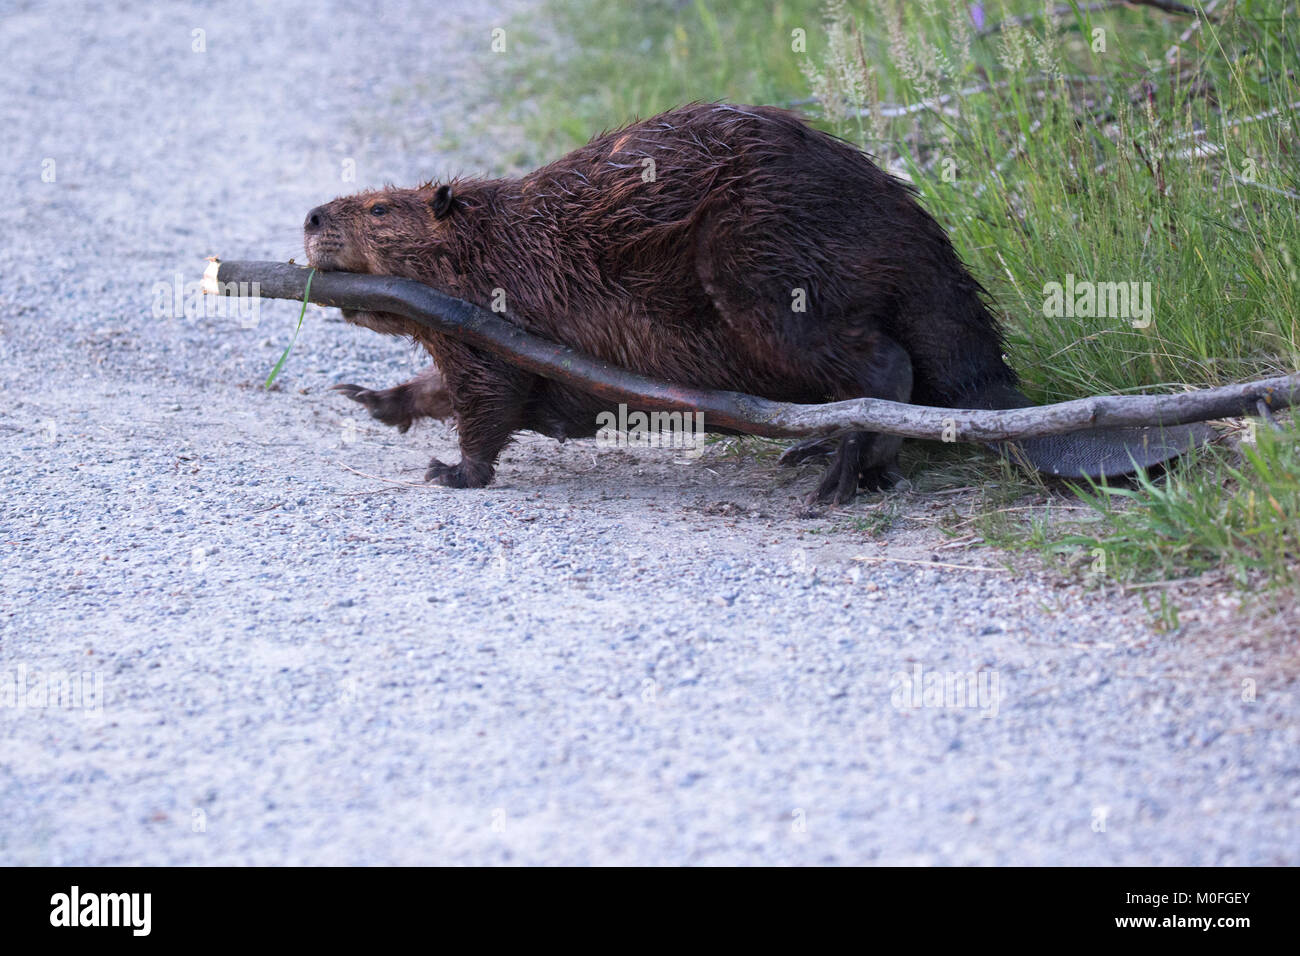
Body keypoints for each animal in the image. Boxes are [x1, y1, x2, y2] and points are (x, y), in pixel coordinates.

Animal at [309, 105, 1201, 504]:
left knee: (885, 363)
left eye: (380, 208)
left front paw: (452, 471)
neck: (501, 237)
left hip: (758, 268)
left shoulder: (491, 316)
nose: (313, 218)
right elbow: (446, 390)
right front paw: (368, 397)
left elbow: (488, 400)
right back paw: (830, 456)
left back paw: (835, 479)